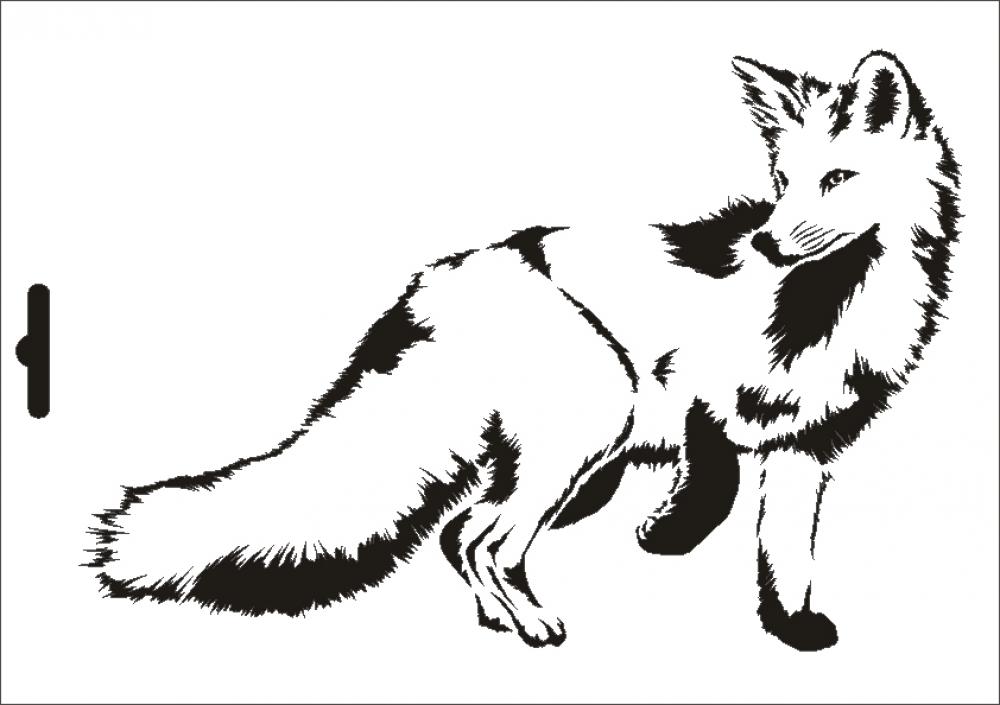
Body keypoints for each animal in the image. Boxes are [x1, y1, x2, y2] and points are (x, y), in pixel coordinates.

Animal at [86, 50, 961, 652]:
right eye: (783, 182)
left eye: (837, 178)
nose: (769, 243)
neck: (829, 300)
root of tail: (439, 280)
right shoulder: (691, 392)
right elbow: (714, 479)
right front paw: (667, 533)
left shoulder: (806, 446)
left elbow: (786, 554)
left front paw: (790, 627)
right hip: (597, 419)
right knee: (481, 535)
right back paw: (532, 621)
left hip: (557, 450)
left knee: (461, 533)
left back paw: (499, 619)